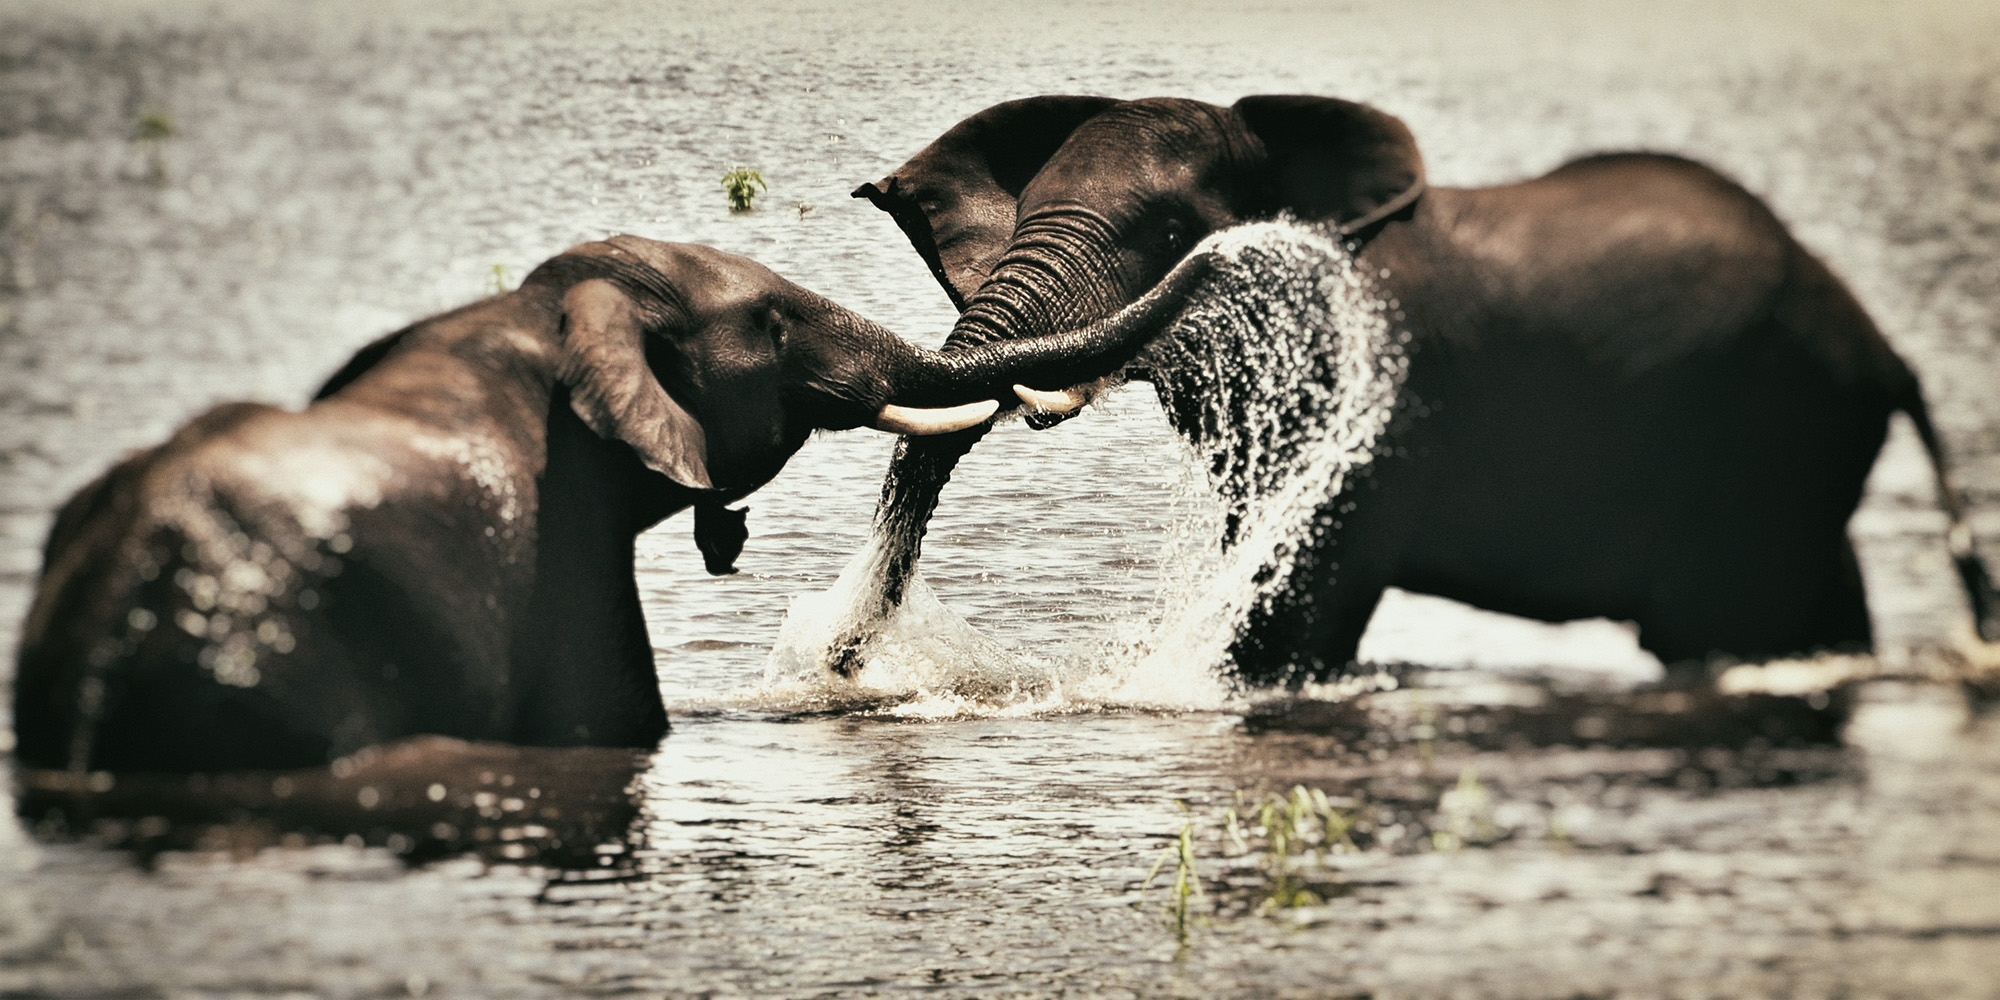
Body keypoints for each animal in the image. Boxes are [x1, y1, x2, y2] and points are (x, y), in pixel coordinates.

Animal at [837, 93, 1999, 685]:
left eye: (1170, 234)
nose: (843, 663)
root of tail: (1880, 345)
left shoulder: (1376, 394)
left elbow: (1300, 596)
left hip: (1764, 437)